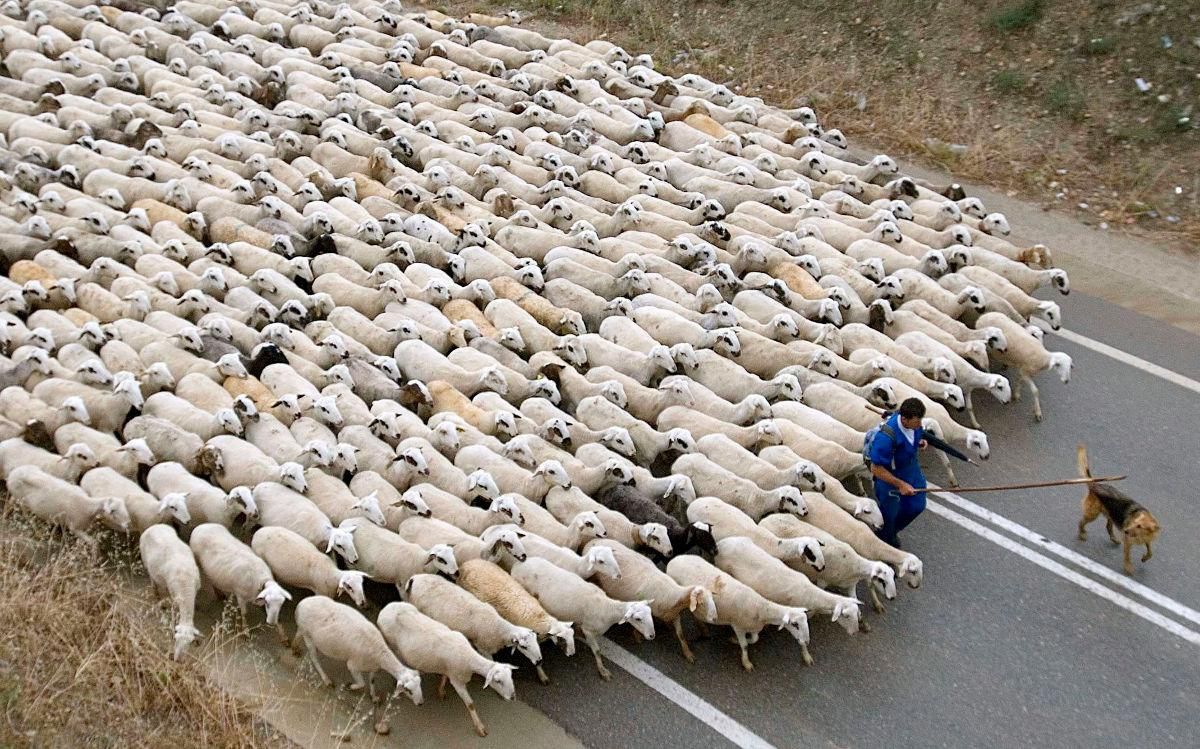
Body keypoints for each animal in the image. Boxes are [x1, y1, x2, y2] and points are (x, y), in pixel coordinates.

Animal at [139, 523, 202, 657]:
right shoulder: (174, 596)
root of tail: (154, 526)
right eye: (175, 639)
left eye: (190, 643)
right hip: (146, 563)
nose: (177, 659)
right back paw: (157, 597)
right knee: (153, 581)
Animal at [290, 592, 422, 705]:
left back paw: (294, 648)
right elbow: (362, 683)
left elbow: (372, 682)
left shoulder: (373, 668)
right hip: (308, 636)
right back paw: (326, 680)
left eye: (420, 684)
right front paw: (349, 686)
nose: (420, 703)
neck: (381, 655)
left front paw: (374, 697)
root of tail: (301, 604)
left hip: (302, 629)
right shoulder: (353, 666)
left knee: (297, 635)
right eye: (408, 690)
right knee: (314, 658)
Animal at [376, 602, 513, 739]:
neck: (469, 658)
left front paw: (441, 690)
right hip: (392, 644)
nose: (512, 697)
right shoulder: (457, 682)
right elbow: (470, 704)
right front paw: (480, 727)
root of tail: (385, 609)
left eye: (511, 677)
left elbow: (444, 677)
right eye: (498, 681)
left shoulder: (449, 670)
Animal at [662, 552, 811, 672]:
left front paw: (734, 640)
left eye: (805, 622)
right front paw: (746, 662)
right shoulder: (738, 626)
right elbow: (744, 645)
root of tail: (675, 559)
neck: (761, 608)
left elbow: (755, 639)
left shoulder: (753, 627)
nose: (807, 641)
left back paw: (703, 629)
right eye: (795, 624)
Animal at [1075, 444, 1156, 573]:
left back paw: (1114, 539)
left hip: (1109, 514)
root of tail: (1095, 485)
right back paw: (1081, 534)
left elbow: (1150, 551)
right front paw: (1128, 567)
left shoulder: (1147, 539)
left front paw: (1145, 557)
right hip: (1093, 513)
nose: (1126, 530)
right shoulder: (1128, 541)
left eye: (1139, 526)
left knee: (1108, 527)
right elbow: (1127, 555)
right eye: (1135, 523)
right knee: (1082, 522)